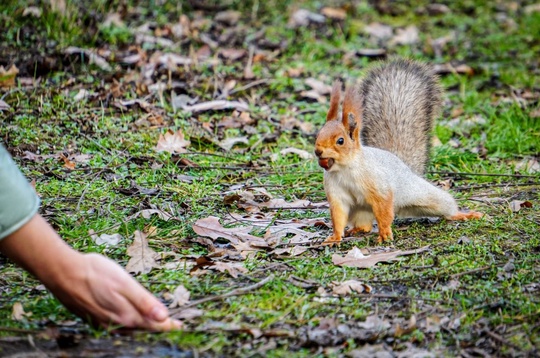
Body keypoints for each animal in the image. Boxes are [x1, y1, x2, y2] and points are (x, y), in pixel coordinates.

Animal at [314, 58, 484, 245]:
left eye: (340, 141)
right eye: (318, 134)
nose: (318, 151)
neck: (344, 169)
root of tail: (404, 165)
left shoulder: (379, 186)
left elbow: (384, 210)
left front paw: (385, 233)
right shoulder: (336, 193)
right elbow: (338, 216)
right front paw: (335, 237)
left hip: (423, 194)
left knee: (444, 205)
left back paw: (461, 214)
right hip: (361, 211)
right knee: (365, 225)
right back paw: (357, 229)